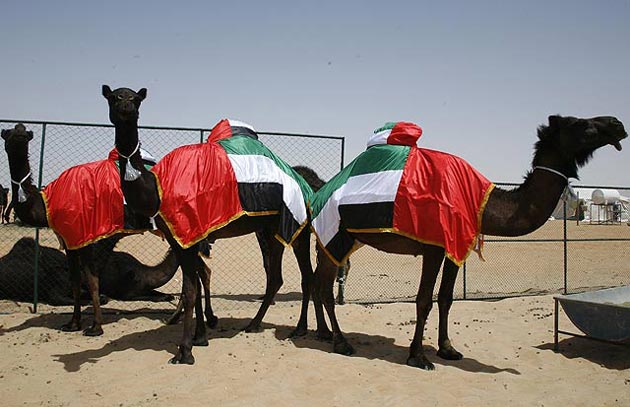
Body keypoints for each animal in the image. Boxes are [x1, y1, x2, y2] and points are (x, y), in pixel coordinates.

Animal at [2, 122, 154, 336]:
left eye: (24, 135)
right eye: (8, 135)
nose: (19, 131)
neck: (48, 203)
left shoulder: (89, 239)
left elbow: (91, 281)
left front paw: (96, 327)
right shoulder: (70, 242)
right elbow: (75, 281)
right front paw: (73, 324)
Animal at [102, 84, 316, 364]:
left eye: (136, 99)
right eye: (114, 97)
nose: (126, 108)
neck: (158, 187)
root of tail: (307, 183)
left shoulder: (189, 234)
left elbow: (190, 289)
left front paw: (185, 350)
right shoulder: (180, 238)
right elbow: (193, 283)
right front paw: (199, 337)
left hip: (297, 223)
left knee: (305, 275)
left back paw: (300, 328)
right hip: (270, 229)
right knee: (276, 277)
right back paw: (254, 324)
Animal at [314, 115, 628, 372]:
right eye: (581, 124)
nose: (617, 124)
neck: (481, 202)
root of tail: (320, 191)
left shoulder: (456, 247)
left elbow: (446, 298)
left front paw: (448, 349)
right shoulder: (434, 245)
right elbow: (424, 300)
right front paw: (418, 357)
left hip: (343, 240)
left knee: (319, 281)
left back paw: (324, 333)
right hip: (335, 235)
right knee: (326, 287)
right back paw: (341, 342)